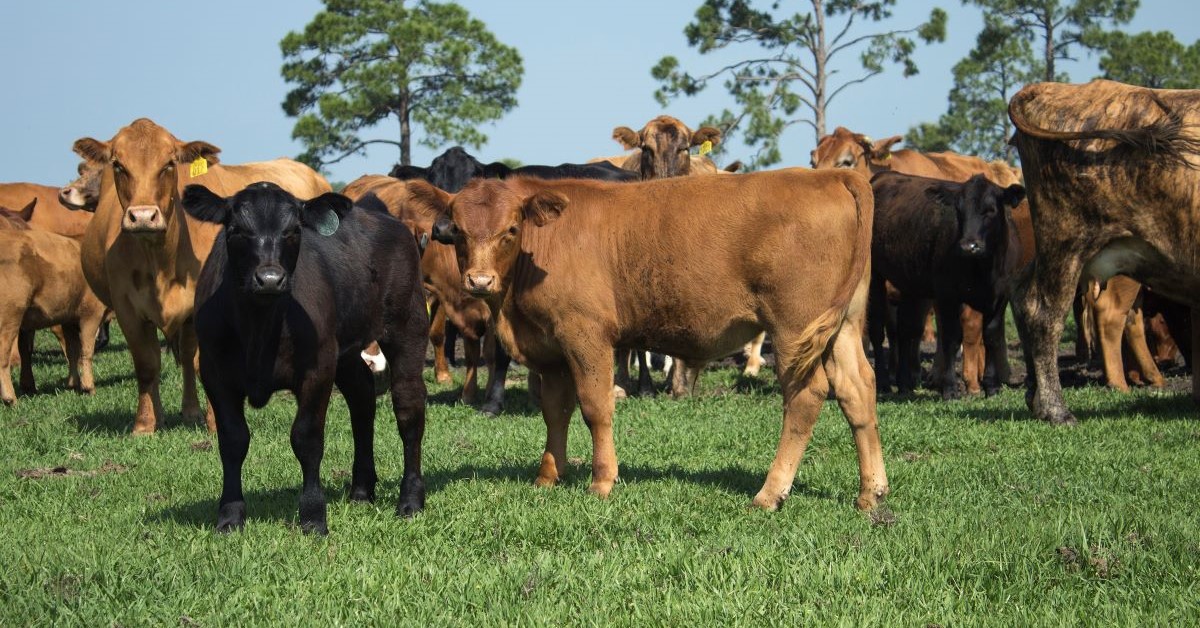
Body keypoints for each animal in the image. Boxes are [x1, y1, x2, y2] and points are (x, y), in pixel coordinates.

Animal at [0, 228, 107, 405]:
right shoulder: (91, 313)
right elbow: (86, 350)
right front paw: (88, 387)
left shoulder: (69, 319)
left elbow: (72, 351)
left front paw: (73, 384)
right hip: (10, 317)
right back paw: (10, 398)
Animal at [74, 117, 332, 434]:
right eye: (118, 164)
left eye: (169, 164)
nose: (144, 216)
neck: (160, 259)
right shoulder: (127, 310)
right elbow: (147, 364)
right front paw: (145, 424)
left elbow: (201, 363)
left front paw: (215, 422)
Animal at [183, 183, 427, 534]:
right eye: (236, 230)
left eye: (294, 230)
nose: (270, 279)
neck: (259, 326)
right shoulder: (215, 373)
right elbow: (232, 440)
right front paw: (229, 515)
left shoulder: (317, 369)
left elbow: (306, 439)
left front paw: (313, 515)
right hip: (345, 349)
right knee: (362, 400)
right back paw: (361, 490)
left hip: (408, 325)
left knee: (408, 408)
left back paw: (410, 500)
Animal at [428, 169, 888, 512]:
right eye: (459, 232)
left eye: (511, 228)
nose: (479, 280)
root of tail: (832, 174)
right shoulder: (551, 348)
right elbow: (555, 411)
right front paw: (547, 477)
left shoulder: (585, 334)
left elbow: (595, 407)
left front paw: (602, 482)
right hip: (842, 327)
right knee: (857, 389)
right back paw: (871, 494)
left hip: (795, 329)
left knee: (806, 396)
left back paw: (770, 493)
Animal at [868, 172, 1026, 399]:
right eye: (959, 211)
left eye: (990, 210)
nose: (969, 245)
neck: (984, 267)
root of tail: (884, 175)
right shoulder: (947, 294)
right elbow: (951, 337)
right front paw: (950, 388)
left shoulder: (1001, 296)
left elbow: (991, 336)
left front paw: (991, 386)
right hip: (874, 276)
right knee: (877, 329)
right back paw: (882, 383)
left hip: (909, 283)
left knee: (906, 330)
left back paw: (905, 384)